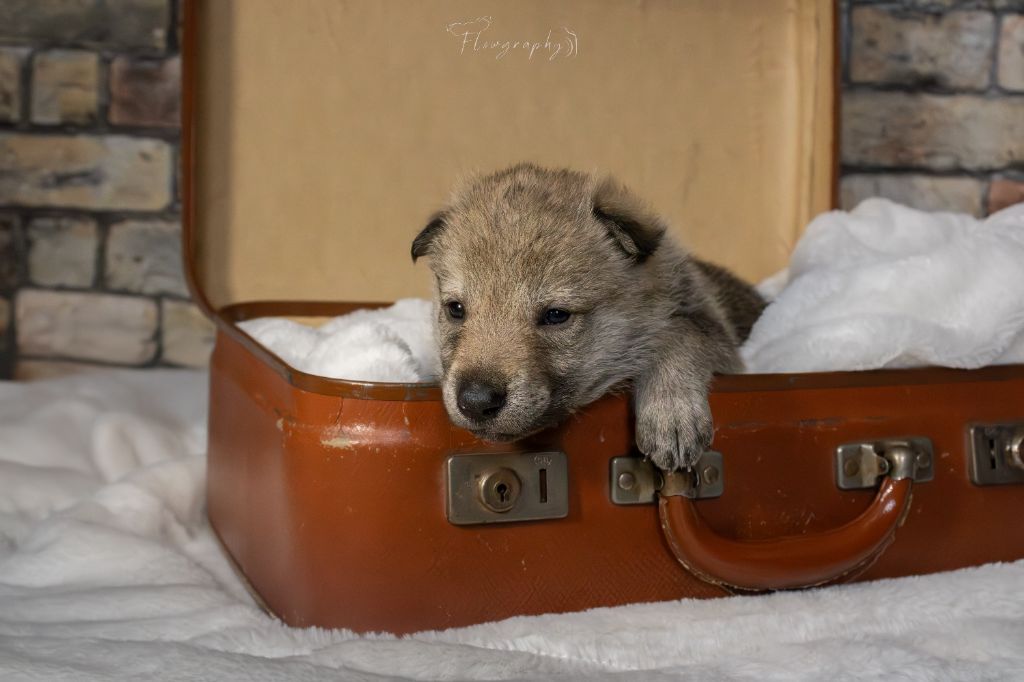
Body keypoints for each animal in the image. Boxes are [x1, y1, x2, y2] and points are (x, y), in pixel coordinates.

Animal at [411, 162, 765, 471]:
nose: (476, 400)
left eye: (556, 315)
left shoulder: (716, 334)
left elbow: (680, 333)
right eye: (456, 309)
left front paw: (672, 414)